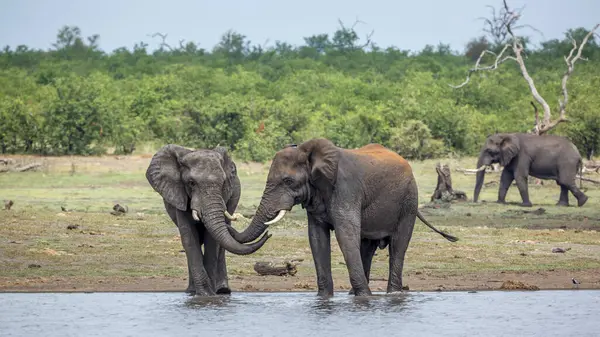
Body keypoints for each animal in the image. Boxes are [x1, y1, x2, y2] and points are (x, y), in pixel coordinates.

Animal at [145, 143, 270, 296]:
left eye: (223, 182)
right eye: (191, 183)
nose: (269, 233)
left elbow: (212, 240)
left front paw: (210, 295)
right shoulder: (179, 194)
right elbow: (189, 239)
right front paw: (205, 294)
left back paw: (222, 290)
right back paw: (192, 291)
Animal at [227, 138, 458, 296]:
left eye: (288, 181)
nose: (268, 233)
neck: (309, 152)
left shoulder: (346, 189)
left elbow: (345, 235)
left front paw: (364, 297)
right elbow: (317, 238)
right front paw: (324, 297)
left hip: (409, 201)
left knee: (398, 246)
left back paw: (390, 294)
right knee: (366, 246)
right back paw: (354, 294)